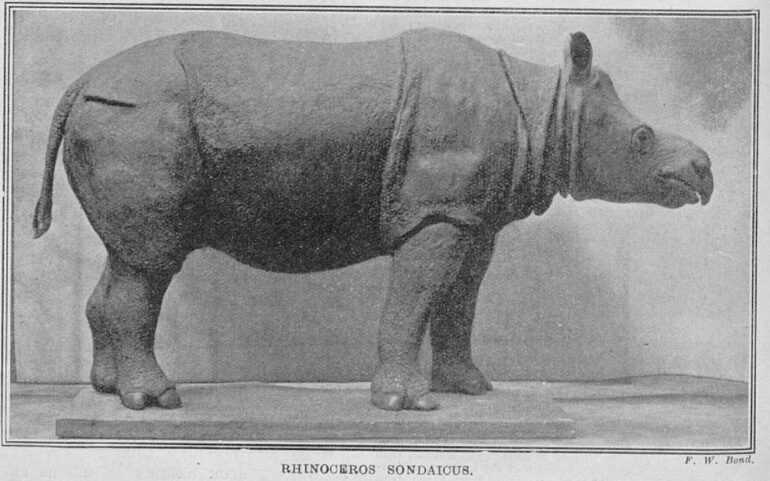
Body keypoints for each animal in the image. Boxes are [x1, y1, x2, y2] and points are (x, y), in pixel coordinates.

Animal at [33, 29, 713, 412]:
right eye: (642, 140)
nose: (703, 171)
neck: (545, 112)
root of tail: (81, 80)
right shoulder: (434, 213)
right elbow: (416, 298)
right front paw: (405, 405)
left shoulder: (469, 216)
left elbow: (460, 300)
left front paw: (471, 390)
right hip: (136, 118)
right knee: (151, 263)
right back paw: (157, 403)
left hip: (118, 118)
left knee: (128, 257)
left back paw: (106, 395)